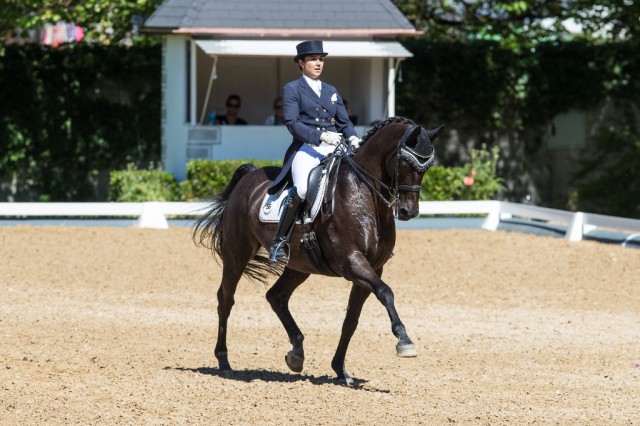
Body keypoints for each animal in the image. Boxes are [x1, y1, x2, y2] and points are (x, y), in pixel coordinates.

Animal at [195, 116, 442, 386]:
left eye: (427, 167)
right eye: (405, 162)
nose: (409, 212)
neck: (364, 193)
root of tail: (249, 176)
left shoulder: (373, 268)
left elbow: (351, 320)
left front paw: (341, 370)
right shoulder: (352, 262)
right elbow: (386, 293)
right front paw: (404, 341)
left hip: (299, 266)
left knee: (276, 297)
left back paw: (296, 354)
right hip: (236, 253)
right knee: (225, 300)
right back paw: (224, 362)